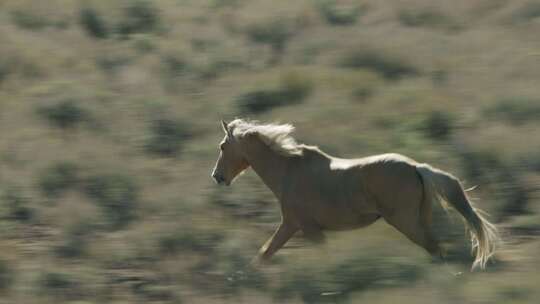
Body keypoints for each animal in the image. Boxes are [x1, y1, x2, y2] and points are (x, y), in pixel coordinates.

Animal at [210, 120, 498, 270]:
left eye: (223, 146)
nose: (217, 176)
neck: (289, 170)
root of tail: (417, 167)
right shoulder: (294, 226)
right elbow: (264, 254)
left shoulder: (302, 226)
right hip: (418, 220)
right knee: (436, 249)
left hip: (406, 222)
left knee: (435, 249)